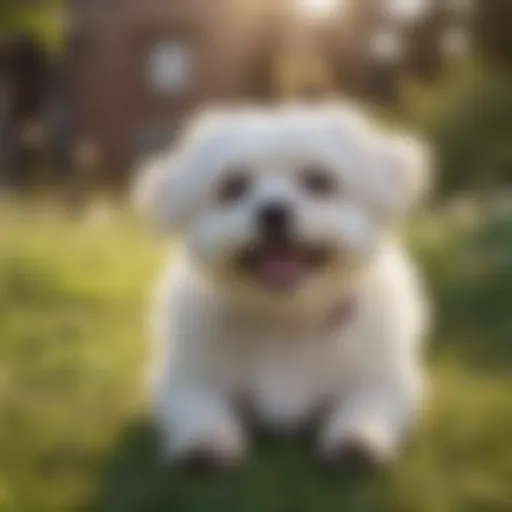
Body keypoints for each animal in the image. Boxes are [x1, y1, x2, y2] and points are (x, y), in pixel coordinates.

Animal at [135, 104, 428, 472]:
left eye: (319, 181)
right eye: (233, 186)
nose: (273, 211)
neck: (286, 319)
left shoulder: (384, 379)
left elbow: (367, 404)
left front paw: (357, 439)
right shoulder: (185, 377)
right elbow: (198, 404)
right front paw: (204, 441)